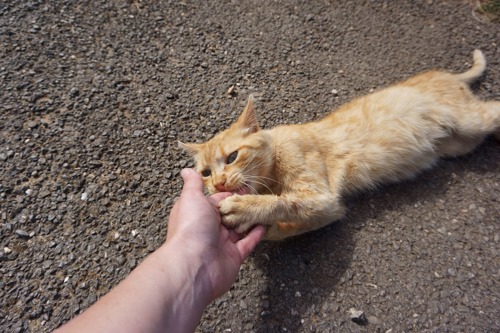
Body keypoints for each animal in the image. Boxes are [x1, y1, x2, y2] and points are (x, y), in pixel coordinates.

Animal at [180, 50, 500, 239]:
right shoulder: (329, 210)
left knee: (494, 107)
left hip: (472, 120)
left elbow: (283, 202)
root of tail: (444, 74)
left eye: (232, 157)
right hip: (461, 142)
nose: (219, 184)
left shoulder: (322, 197)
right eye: (206, 173)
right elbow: (287, 226)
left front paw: (245, 208)